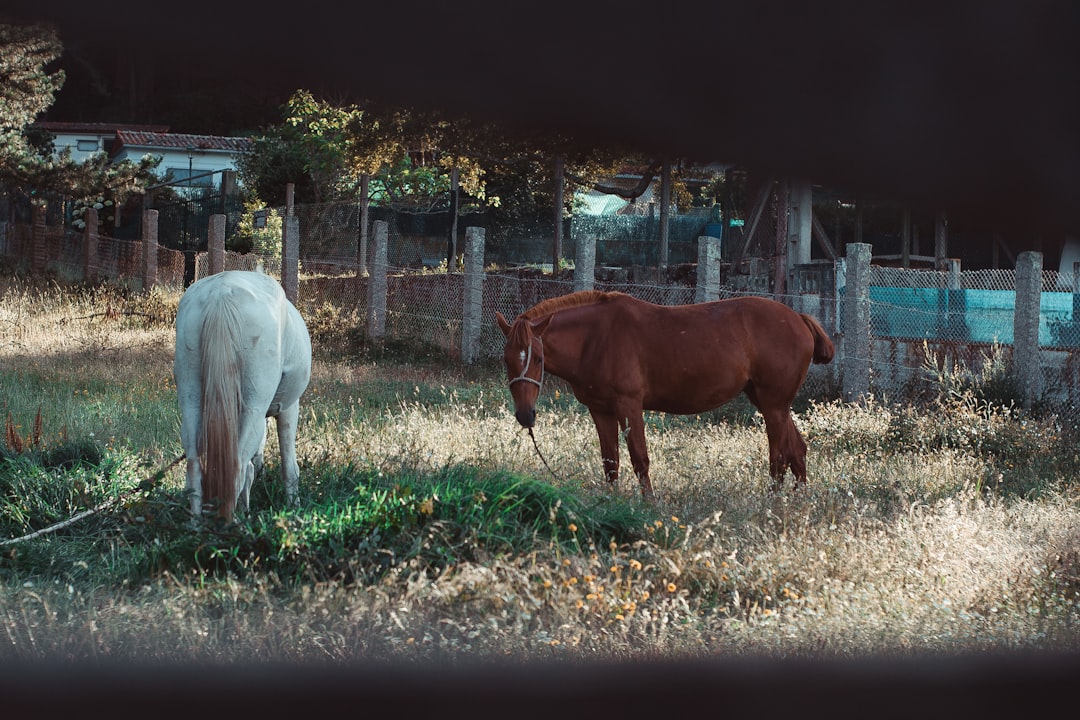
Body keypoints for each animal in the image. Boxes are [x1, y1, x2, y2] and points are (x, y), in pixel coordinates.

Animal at [170, 272, 311, 524]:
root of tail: (221, 293)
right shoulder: (289, 407)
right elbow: (289, 466)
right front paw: (294, 508)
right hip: (254, 407)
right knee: (237, 466)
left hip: (191, 402)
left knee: (194, 465)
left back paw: (196, 524)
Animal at [496, 289, 833, 498]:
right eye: (507, 359)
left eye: (538, 359)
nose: (525, 415)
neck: (596, 338)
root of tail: (799, 318)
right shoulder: (600, 410)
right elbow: (610, 462)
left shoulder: (629, 406)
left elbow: (639, 458)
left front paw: (649, 503)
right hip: (772, 404)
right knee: (797, 451)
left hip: (774, 406)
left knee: (779, 457)